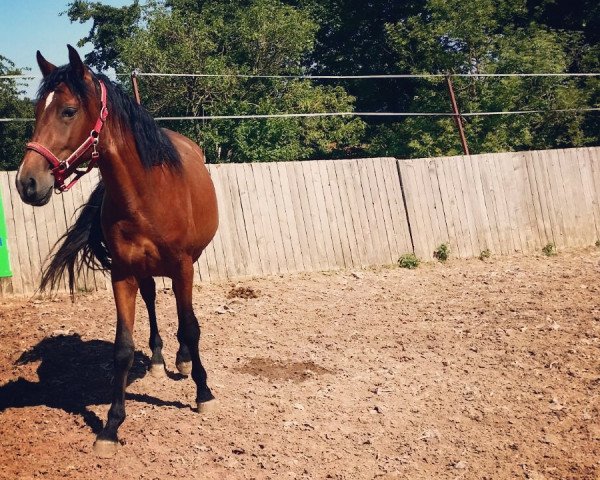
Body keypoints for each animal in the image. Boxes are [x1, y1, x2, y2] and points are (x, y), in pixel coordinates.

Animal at [15, 46, 219, 458]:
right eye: (37, 110)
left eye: (68, 111)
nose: (27, 183)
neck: (147, 193)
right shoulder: (122, 273)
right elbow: (123, 348)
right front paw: (111, 426)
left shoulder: (184, 266)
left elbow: (191, 326)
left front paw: (203, 392)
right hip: (143, 271)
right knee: (153, 299)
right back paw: (158, 359)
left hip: (185, 265)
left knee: (181, 314)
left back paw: (182, 361)